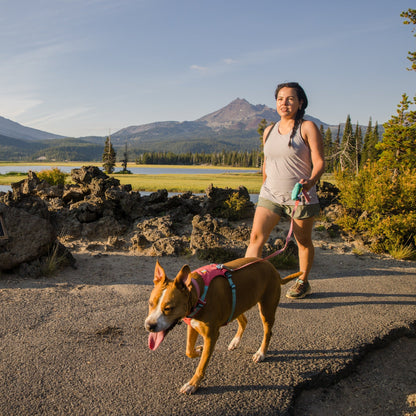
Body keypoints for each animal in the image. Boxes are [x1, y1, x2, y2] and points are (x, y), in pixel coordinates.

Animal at [145, 256, 300, 394]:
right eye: (150, 303)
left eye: (168, 308)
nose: (149, 326)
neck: (198, 293)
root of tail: (272, 267)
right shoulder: (192, 325)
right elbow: (189, 351)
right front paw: (199, 350)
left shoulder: (211, 335)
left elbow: (201, 365)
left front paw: (193, 384)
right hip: (237, 304)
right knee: (244, 321)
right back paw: (235, 342)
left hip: (266, 309)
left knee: (268, 332)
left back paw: (261, 353)